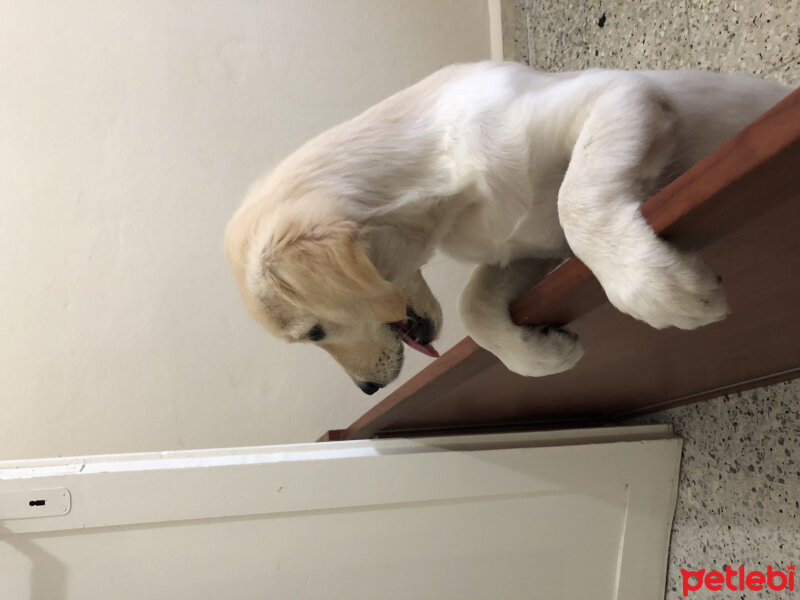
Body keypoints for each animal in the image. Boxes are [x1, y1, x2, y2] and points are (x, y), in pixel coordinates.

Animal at [225, 62, 792, 394]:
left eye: (315, 332)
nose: (367, 391)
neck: (447, 176)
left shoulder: (621, 92)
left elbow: (574, 198)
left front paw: (654, 287)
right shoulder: (531, 246)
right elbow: (472, 306)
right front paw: (539, 357)